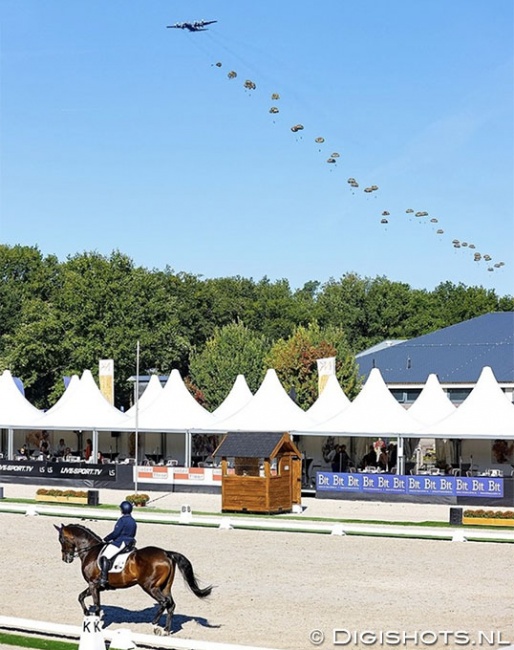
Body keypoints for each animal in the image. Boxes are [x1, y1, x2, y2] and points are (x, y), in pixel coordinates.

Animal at [54, 520, 210, 632]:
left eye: (61, 539)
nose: (66, 558)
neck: (90, 550)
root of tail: (166, 553)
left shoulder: (93, 585)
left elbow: (96, 606)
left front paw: (94, 623)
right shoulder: (95, 586)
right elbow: (80, 597)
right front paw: (87, 613)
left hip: (150, 586)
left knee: (165, 602)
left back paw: (154, 623)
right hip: (165, 587)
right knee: (171, 604)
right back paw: (166, 630)